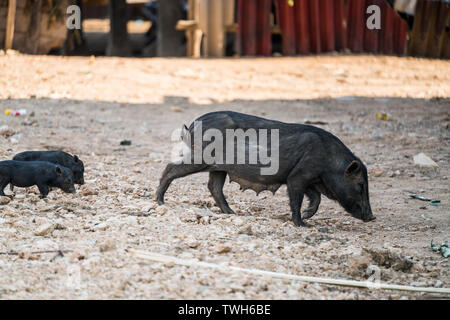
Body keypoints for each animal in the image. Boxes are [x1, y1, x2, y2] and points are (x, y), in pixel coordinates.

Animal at [156, 111, 374, 226]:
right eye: (360, 185)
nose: (372, 217)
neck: (330, 162)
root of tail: (193, 124)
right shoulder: (297, 177)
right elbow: (296, 199)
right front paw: (302, 224)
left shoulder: (309, 180)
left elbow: (316, 197)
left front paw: (307, 216)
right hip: (201, 157)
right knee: (171, 167)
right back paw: (159, 201)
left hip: (218, 167)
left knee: (214, 187)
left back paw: (232, 213)